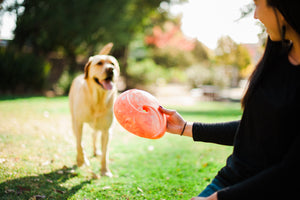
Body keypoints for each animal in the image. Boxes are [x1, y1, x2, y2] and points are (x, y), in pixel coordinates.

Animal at [68, 42, 119, 177]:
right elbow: (80, 144)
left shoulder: (106, 130)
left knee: (94, 135)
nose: (110, 70)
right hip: (73, 120)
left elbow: (105, 154)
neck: (98, 100)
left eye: (113, 64)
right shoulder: (78, 123)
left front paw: (105, 171)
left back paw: (96, 151)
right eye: (99, 63)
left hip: (98, 126)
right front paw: (81, 161)